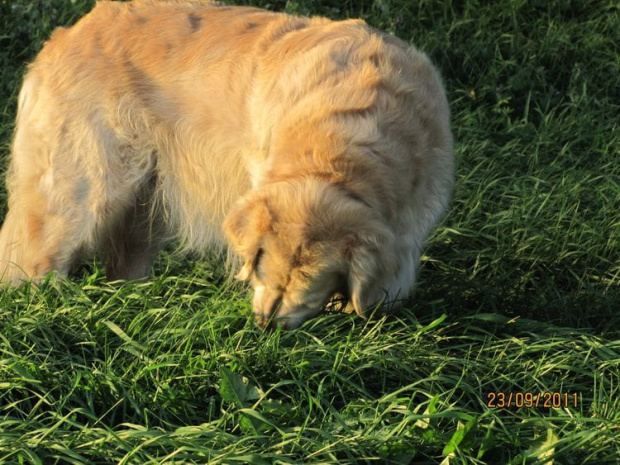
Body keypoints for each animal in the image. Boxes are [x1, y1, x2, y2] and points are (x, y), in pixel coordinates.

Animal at [1, 0, 456, 330]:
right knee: (30, 262)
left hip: (145, 204)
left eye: (314, 278)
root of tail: (66, 35)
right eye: (263, 261)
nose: (264, 325)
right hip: (83, 194)